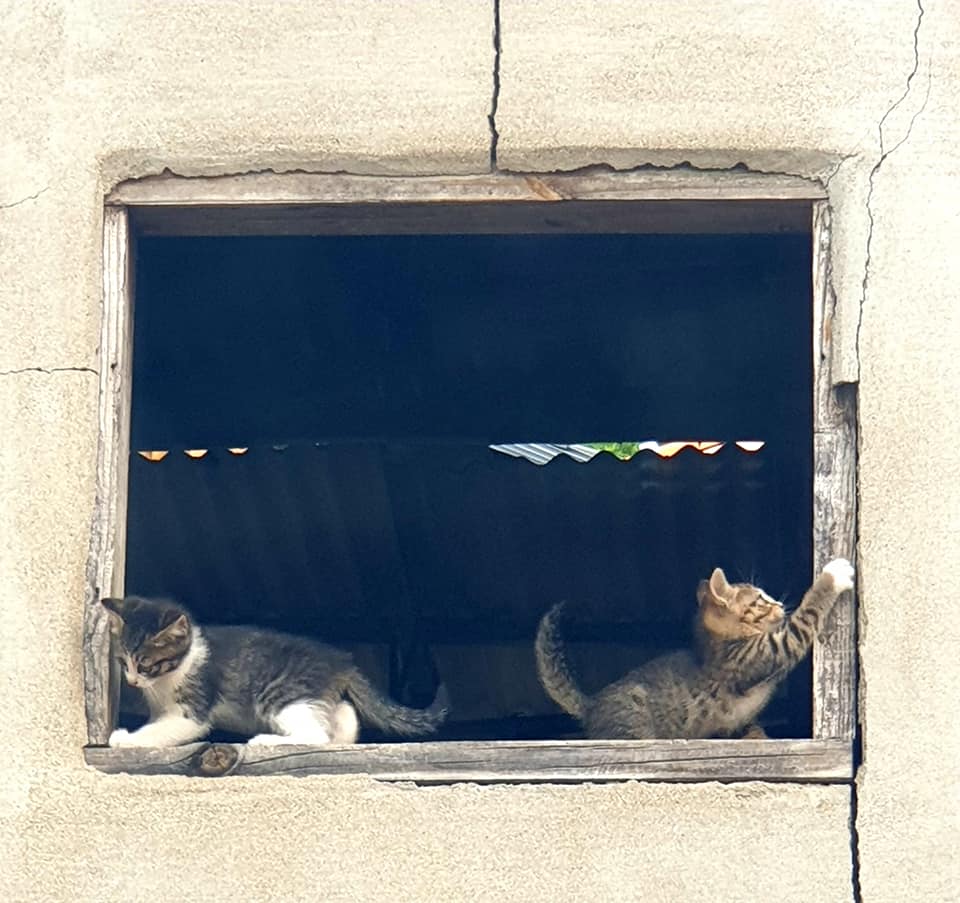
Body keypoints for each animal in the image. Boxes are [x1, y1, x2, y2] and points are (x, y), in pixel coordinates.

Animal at [103, 595, 448, 748]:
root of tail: (341, 662)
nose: (132, 680)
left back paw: (267, 740)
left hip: (281, 695)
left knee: (316, 736)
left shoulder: (192, 710)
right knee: (341, 719)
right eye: (123, 662)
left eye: (146, 663)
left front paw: (124, 739)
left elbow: (165, 730)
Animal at [535, 558, 854, 740]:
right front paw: (833, 575)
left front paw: (757, 735)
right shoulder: (765, 652)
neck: (720, 644)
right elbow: (806, 616)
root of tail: (592, 705)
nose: (778, 604)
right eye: (760, 601)